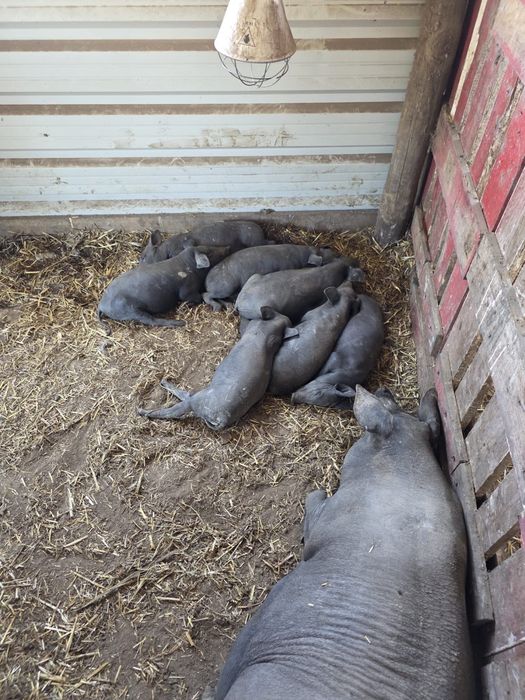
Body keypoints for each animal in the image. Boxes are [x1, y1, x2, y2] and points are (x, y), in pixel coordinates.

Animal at [98, 244, 230, 328]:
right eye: (209, 252)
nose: (227, 247)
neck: (190, 266)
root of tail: (101, 305)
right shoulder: (187, 291)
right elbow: (196, 297)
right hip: (129, 309)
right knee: (151, 320)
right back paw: (180, 323)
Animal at [203, 244, 339, 311]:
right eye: (323, 258)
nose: (336, 254)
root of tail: (206, 281)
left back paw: (229, 306)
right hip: (226, 286)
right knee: (206, 295)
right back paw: (217, 308)